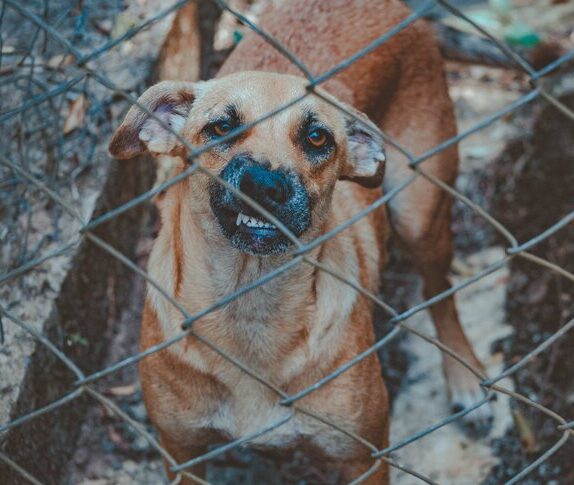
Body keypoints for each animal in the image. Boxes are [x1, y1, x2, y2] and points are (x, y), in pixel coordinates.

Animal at [109, 1, 496, 482]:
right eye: (221, 126)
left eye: (317, 137)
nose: (264, 184)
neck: (250, 305)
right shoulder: (181, 451)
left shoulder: (363, 457)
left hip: (419, 213)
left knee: (441, 294)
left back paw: (465, 378)